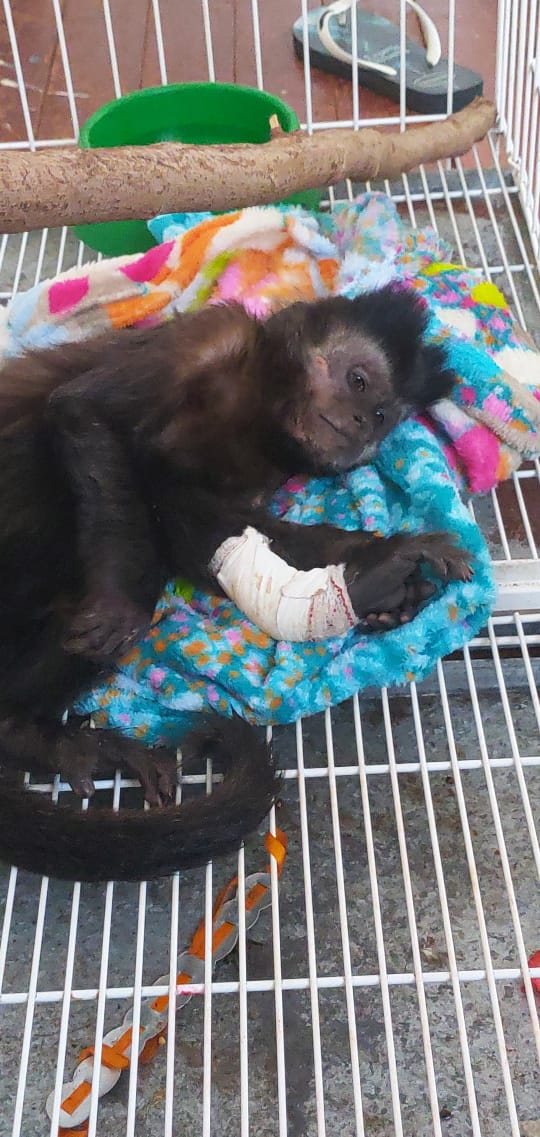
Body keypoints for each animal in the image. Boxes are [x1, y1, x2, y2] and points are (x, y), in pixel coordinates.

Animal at [0, 284, 470, 882]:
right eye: (359, 381)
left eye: (384, 415)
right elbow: (83, 410)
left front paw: (378, 577)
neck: (262, 408)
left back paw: (34, 736)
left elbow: (216, 529)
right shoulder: (210, 334)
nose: (363, 422)